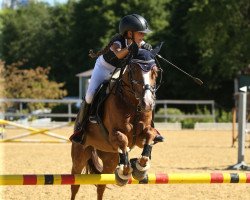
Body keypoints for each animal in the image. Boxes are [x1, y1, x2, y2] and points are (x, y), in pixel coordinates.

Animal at [71, 45, 163, 200]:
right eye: (134, 70)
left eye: (155, 72)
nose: (148, 103)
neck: (132, 104)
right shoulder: (114, 135)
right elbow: (123, 140)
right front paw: (125, 172)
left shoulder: (140, 138)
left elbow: (149, 135)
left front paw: (139, 168)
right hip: (80, 154)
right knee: (75, 184)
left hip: (110, 157)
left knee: (101, 185)